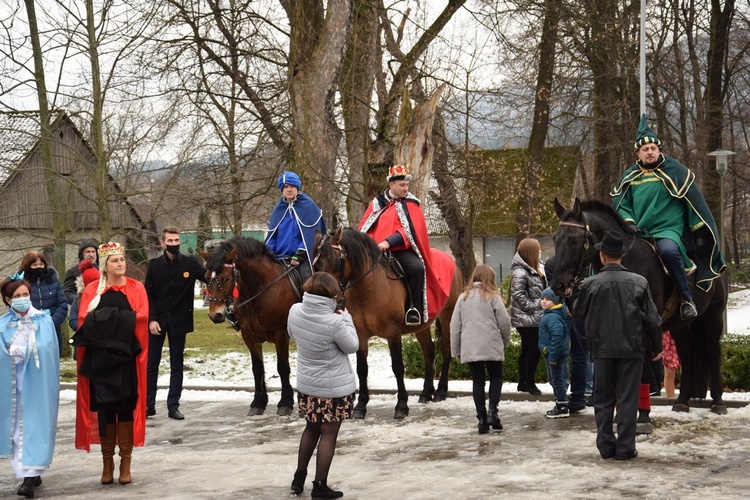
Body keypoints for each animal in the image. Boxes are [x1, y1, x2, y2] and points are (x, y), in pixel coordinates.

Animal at [204, 236, 302, 416]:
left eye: (226, 278)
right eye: (207, 278)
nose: (215, 314)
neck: (259, 290)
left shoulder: (281, 335)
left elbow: (282, 367)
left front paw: (285, 402)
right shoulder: (249, 337)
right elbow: (257, 368)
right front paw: (258, 402)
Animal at [312, 229, 464, 420]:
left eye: (332, 258)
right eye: (315, 263)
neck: (368, 288)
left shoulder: (393, 333)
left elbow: (398, 367)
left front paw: (402, 405)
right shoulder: (360, 335)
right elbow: (362, 369)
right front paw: (360, 406)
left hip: (447, 315)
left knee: (446, 349)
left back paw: (441, 391)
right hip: (421, 326)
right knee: (429, 351)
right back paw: (425, 393)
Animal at [552, 199, 728, 414]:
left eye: (574, 241)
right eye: (555, 239)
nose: (558, 284)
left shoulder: (645, 327)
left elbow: (642, 369)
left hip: (714, 314)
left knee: (712, 350)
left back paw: (718, 402)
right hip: (679, 324)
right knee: (687, 352)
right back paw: (682, 400)